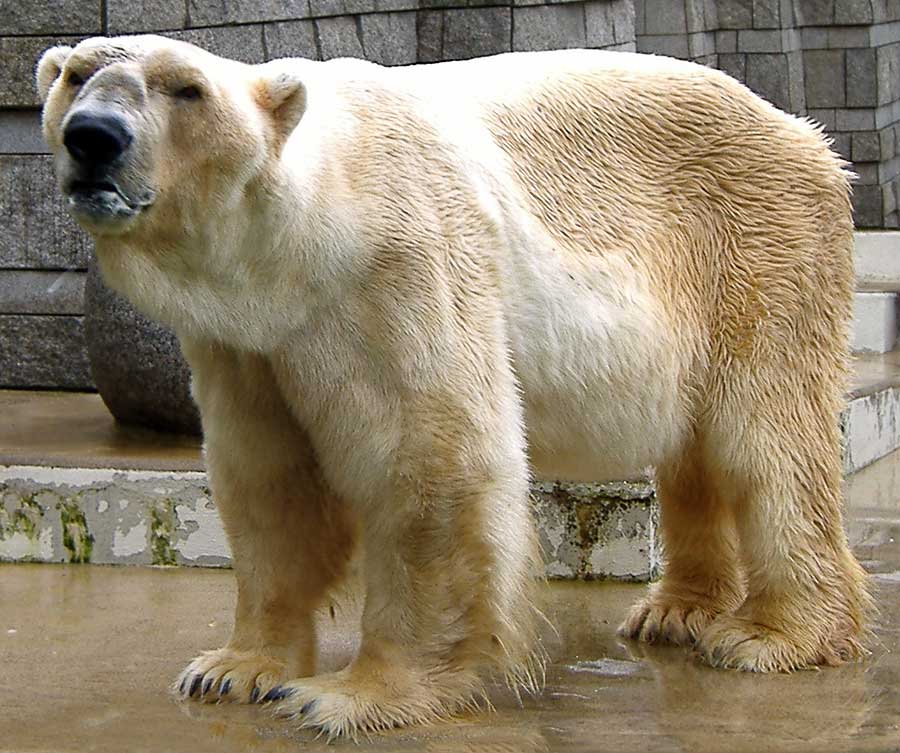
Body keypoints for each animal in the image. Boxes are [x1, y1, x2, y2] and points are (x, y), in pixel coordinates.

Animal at [37, 35, 872, 736]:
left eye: (187, 88)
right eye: (75, 73)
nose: (93, 136)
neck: (303, 238)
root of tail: (809, 138)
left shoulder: (396, 267)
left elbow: (431, 458)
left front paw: (352, 695)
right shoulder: (249, 343)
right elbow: (268, 481)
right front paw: (231, 668)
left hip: (754, 249)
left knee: (765, 440)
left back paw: (772, 635)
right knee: (694, 451)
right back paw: (675, 612)